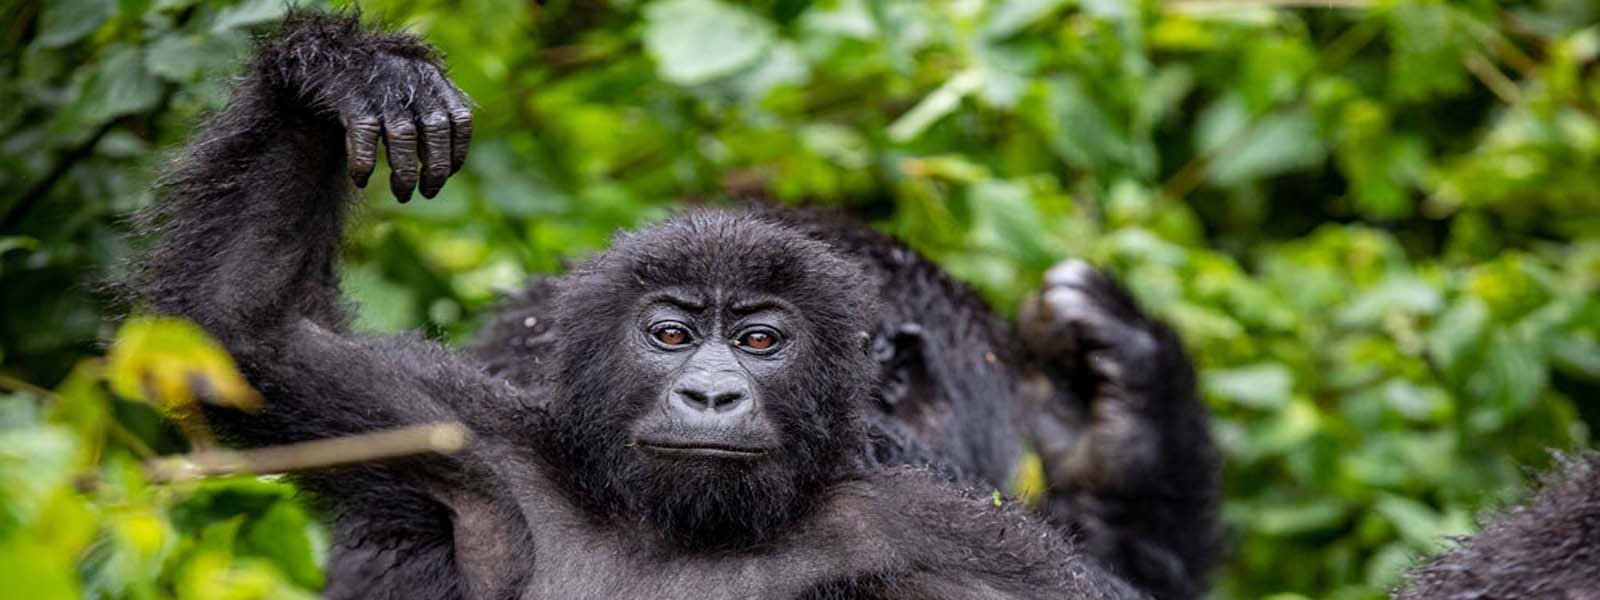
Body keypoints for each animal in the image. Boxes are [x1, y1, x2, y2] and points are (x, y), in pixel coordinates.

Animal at [137, 12, 1216, 600]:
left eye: (760, 341)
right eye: (670, 335)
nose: (708, 394)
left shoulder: (937, 533)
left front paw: (1124, 405)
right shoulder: (468, 439)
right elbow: (245, 335)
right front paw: (347, 73)